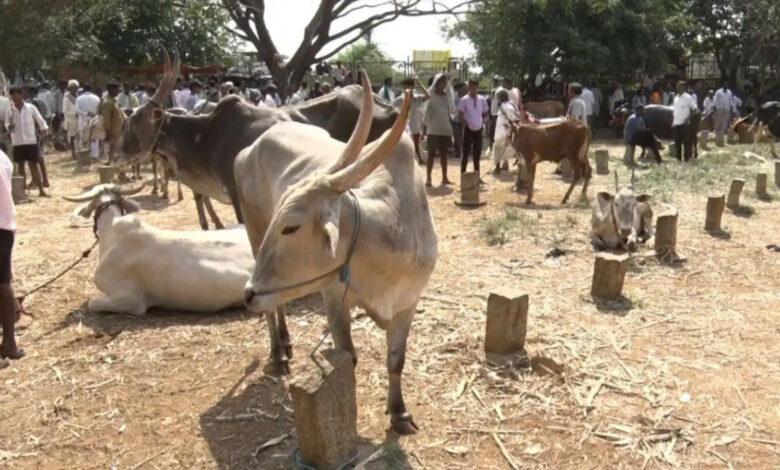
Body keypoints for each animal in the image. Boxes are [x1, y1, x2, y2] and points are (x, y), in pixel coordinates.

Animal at [240, 74, 438, 435]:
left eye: (290, 227)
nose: (247, 294)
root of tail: (253, 147)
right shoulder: (334, 298)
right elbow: (348, 359)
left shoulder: (408, 303)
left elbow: (396, 360)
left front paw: (400, 413)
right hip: (253, 234)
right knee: (271, 309)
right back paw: (278, 352)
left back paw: (284, 341)